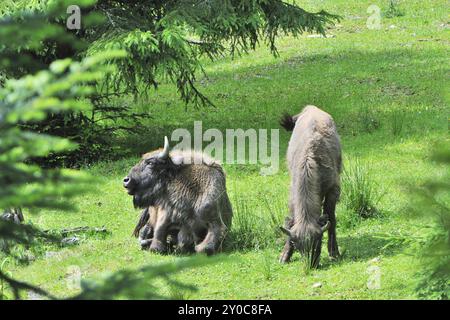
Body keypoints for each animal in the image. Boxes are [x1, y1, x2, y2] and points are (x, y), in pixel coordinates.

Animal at [278, 105, 342, 268]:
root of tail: (310, 108)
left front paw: (333, 251)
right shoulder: (293, 194)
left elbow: (331, 218)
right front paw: (285, 254)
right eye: (297, 245)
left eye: (317, 243)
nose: (310, 265)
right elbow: (291, 220)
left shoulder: (333, 190)